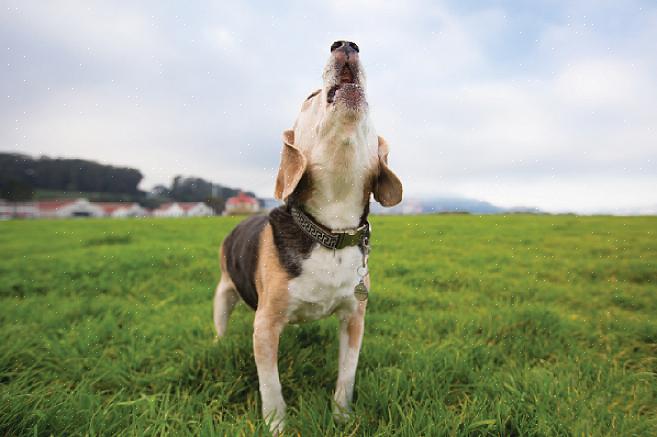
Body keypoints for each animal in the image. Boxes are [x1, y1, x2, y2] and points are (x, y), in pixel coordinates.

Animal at [213, 41, 402, 432]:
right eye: (311, 96)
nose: (345, 44)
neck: (330, 231)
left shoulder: (354, 318)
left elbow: (346, 376)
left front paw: (342, 418)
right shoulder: (265, 326)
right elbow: (271, 388)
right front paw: (277, 427)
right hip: (223, 293)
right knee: (221, 325)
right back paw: (218, 346)